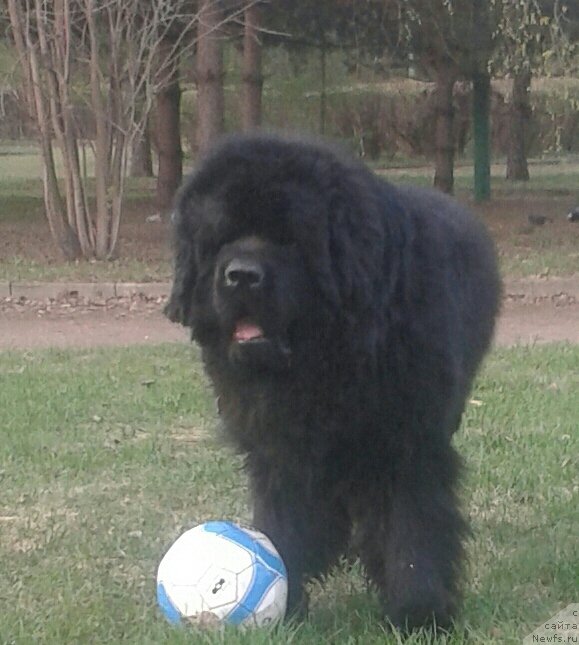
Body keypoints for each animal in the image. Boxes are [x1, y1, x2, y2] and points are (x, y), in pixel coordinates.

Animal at [165, 132, 500, 628]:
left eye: (289, 238)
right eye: (220, 237)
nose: (241, 276)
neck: (325, 360)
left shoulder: (407, 441)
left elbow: (412, 524)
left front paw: (420, 611)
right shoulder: (278, 447)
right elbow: (284, 521)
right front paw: (288, 602)